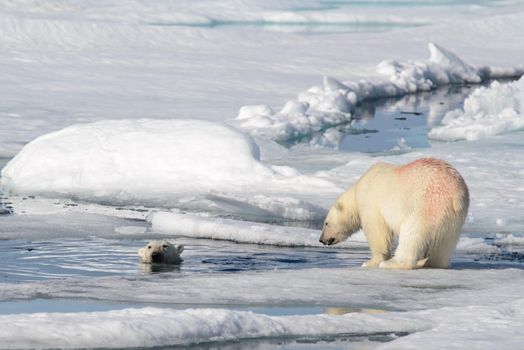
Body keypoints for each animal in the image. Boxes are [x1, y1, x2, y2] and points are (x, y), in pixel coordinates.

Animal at [320, 157, 470, 270]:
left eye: (326, 223)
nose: (321, 240)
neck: (357, 190)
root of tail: (456, 196)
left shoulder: (371, 202)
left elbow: (377, 231)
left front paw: (370, 262)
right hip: (453, 218)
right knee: (445, 244)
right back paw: (428, 262)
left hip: (426, 204)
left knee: (412, 233)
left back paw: (392, 263)